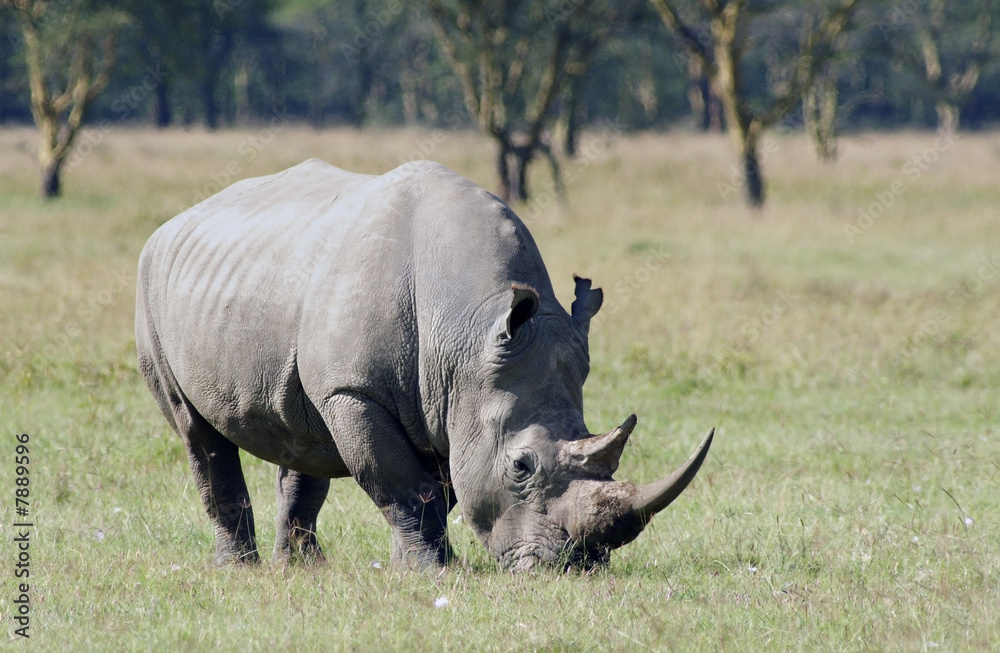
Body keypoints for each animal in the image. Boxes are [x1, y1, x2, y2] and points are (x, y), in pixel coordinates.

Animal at [135, 159, 713, 571]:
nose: (578, 566)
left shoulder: (454, 396)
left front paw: (407, 567)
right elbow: (402, 484)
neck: (467, 332)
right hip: (151, 285)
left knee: (302, 432)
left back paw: (302, 567)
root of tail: (175, 222)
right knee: (197, 431)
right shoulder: (356, 390)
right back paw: (239, 569)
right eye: (521, 467)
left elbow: (437, 484)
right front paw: (429, 572)